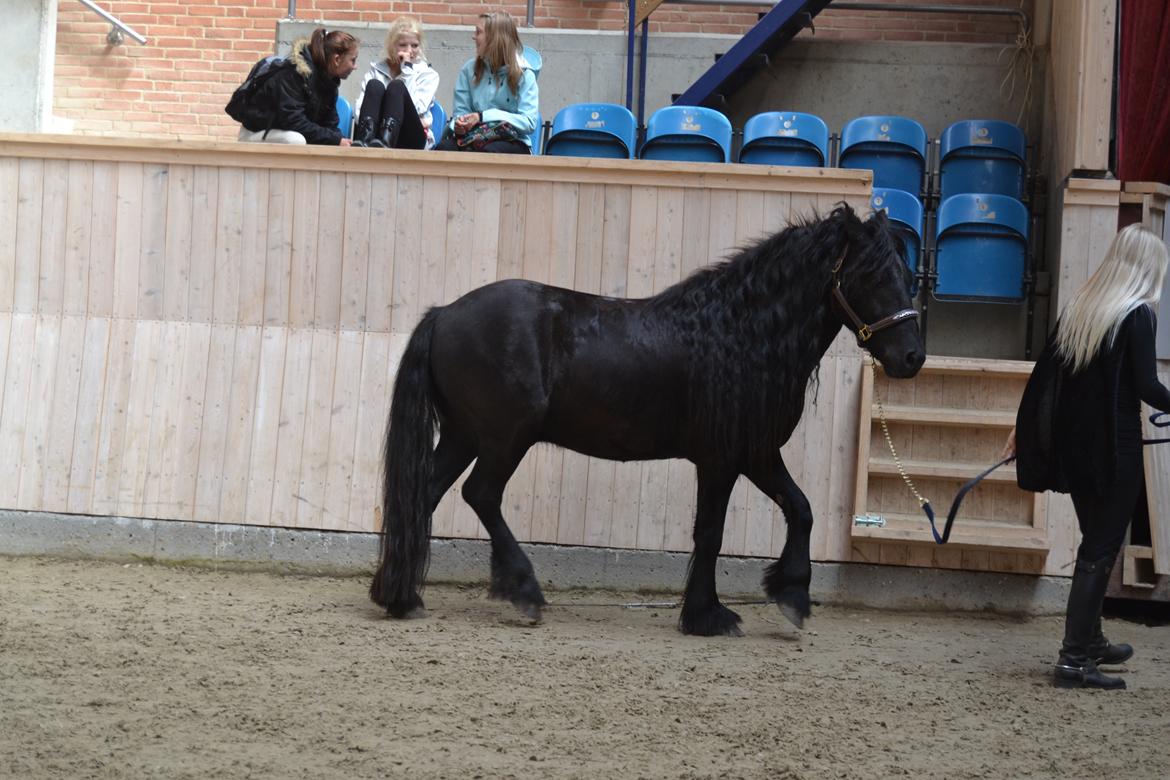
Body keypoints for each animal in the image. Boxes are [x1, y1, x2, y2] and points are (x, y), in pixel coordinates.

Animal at [370, 203, 925, 636]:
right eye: (872, 275)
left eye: (907, 276)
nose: (913, 357)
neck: (739, 333)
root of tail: (444, 313)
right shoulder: (721, 460)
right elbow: (711, 533)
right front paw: (707, 616)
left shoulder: (758, 454)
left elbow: (801, 509)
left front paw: (791, 594)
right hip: (506, 438)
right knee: (480, 494)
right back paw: (522, 591)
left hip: (465, 436)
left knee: (424, 494)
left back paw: (400, 597)